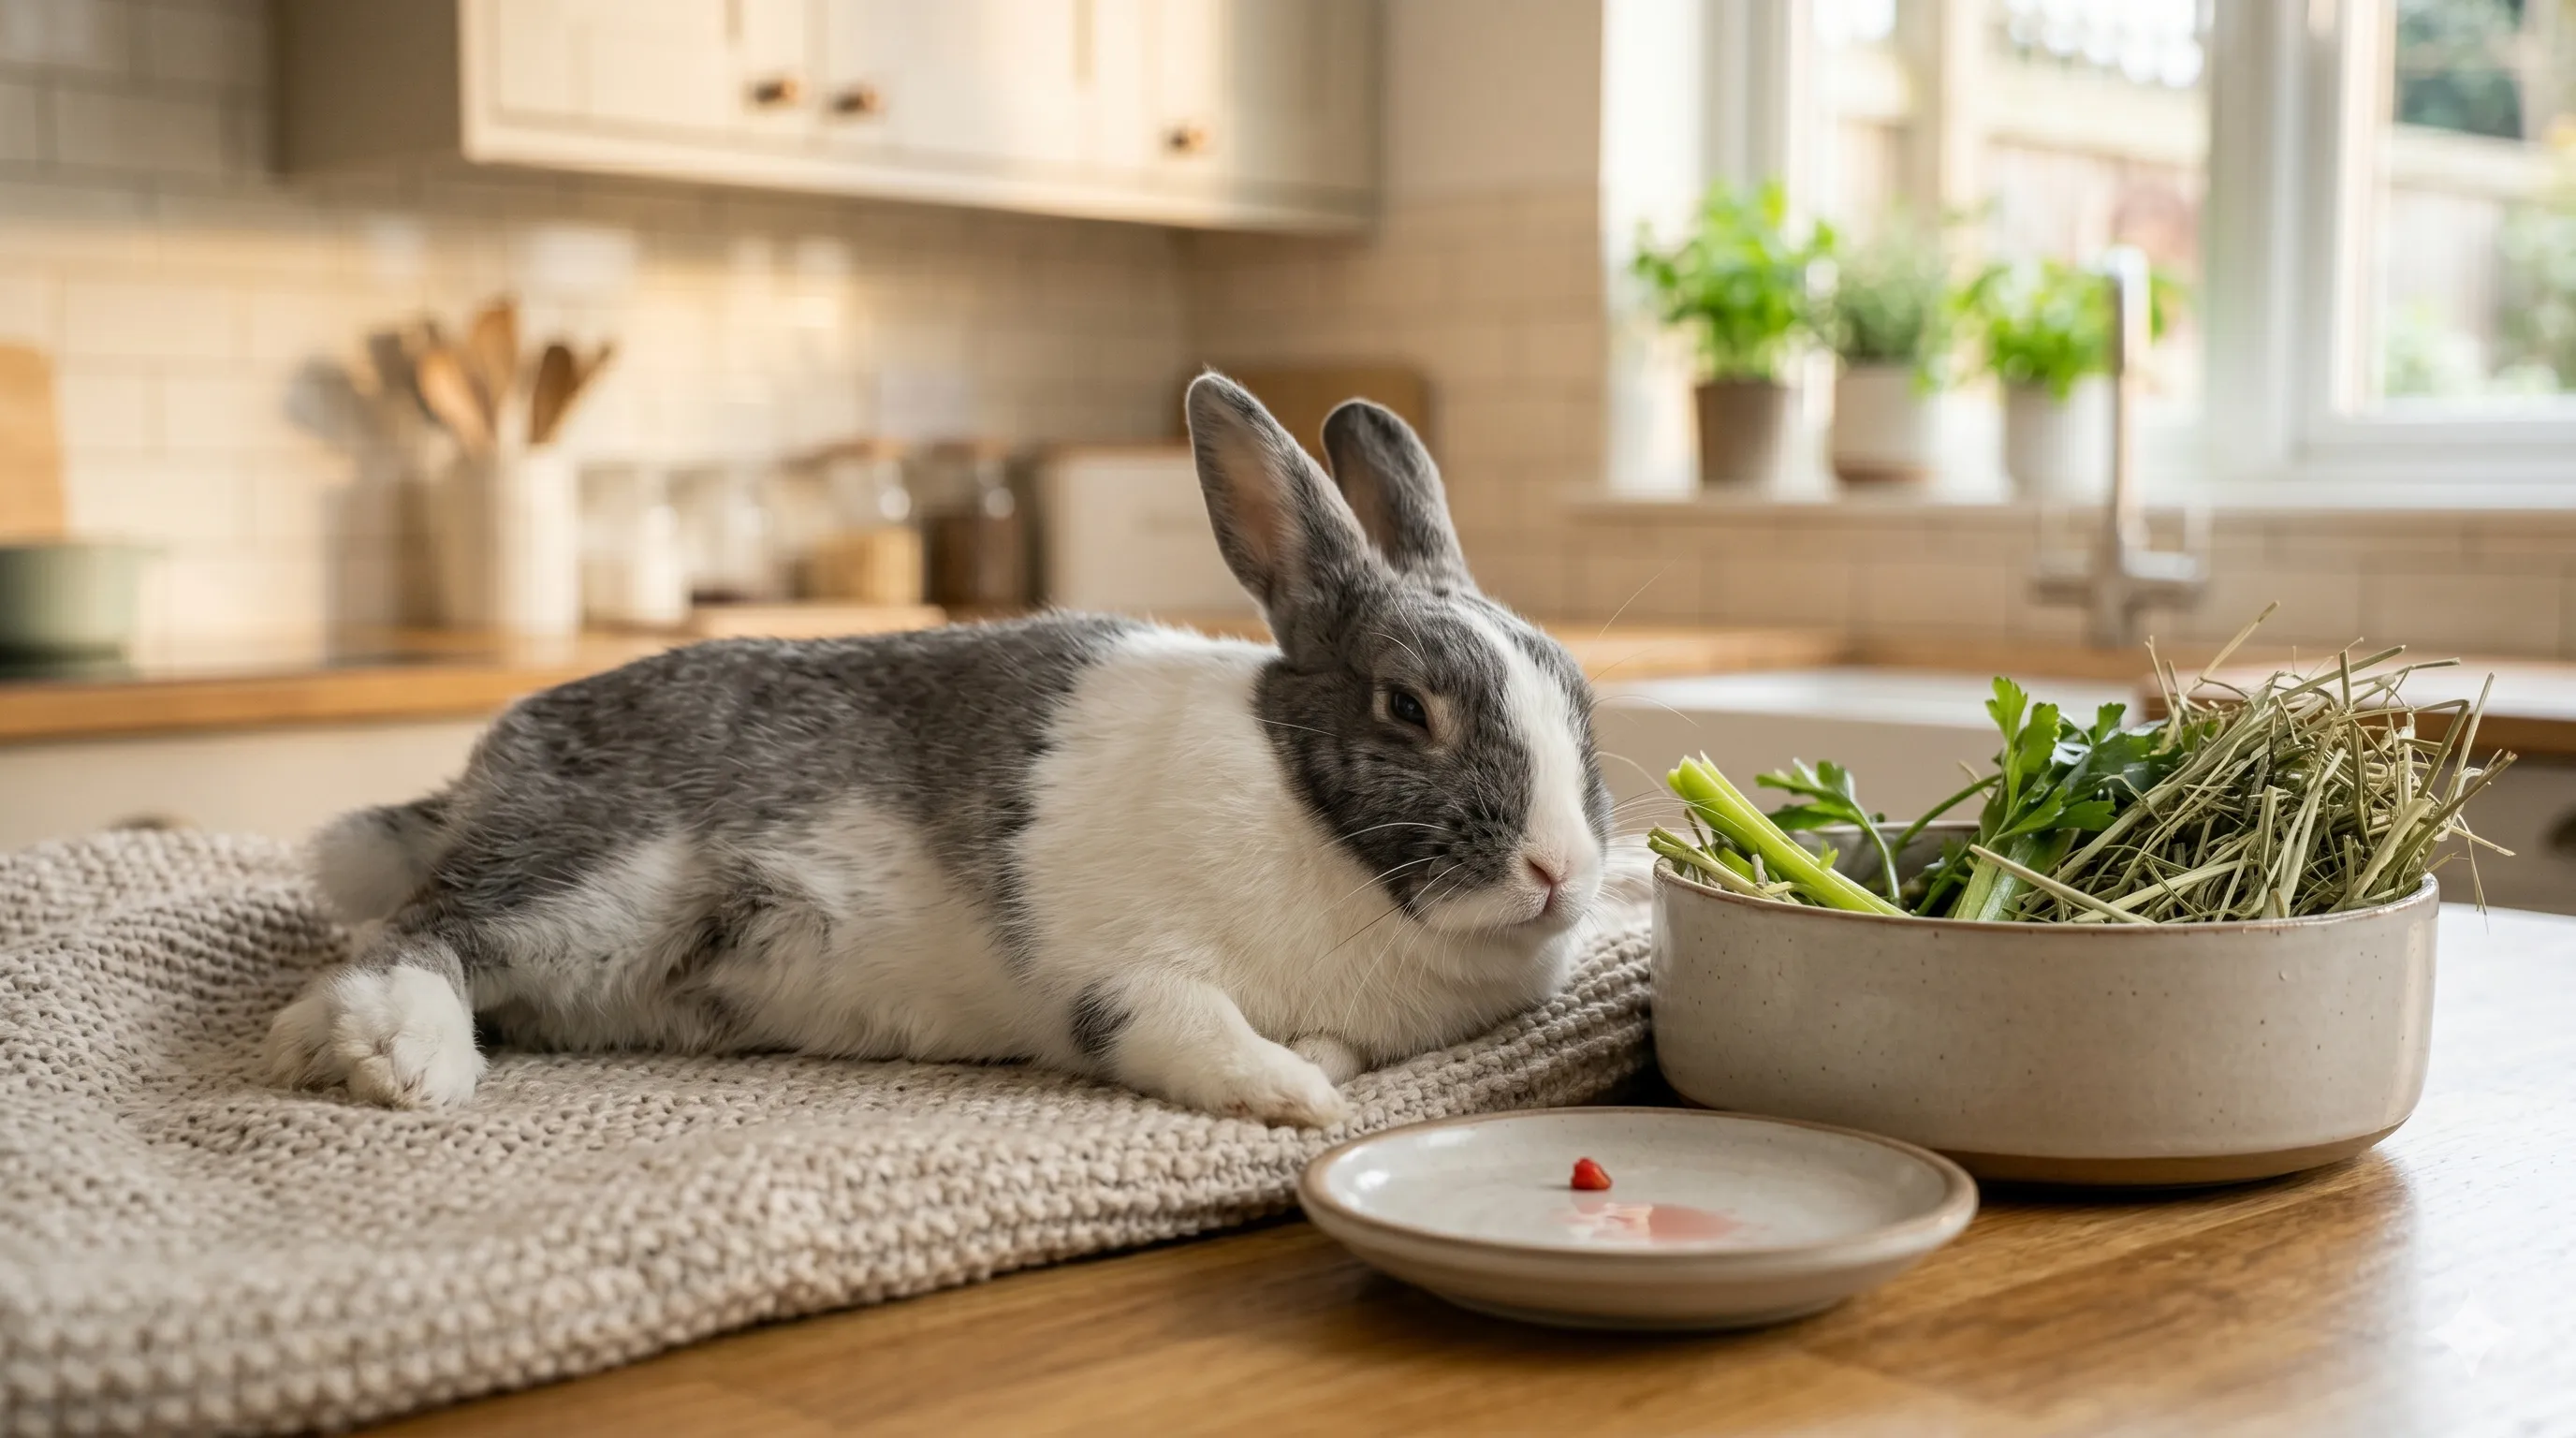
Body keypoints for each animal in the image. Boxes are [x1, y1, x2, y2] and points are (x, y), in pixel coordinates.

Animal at [264, 373, 1620, 1128]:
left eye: (1581, 701)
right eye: (1406, 708)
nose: (1558, 872)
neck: (1316, 830)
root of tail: (488, 767)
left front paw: (1312, 1072)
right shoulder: (1131, 975)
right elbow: (1198, 1033)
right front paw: (1293, 1100)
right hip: (592, 879)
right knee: (415, 934)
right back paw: (396, 1061)